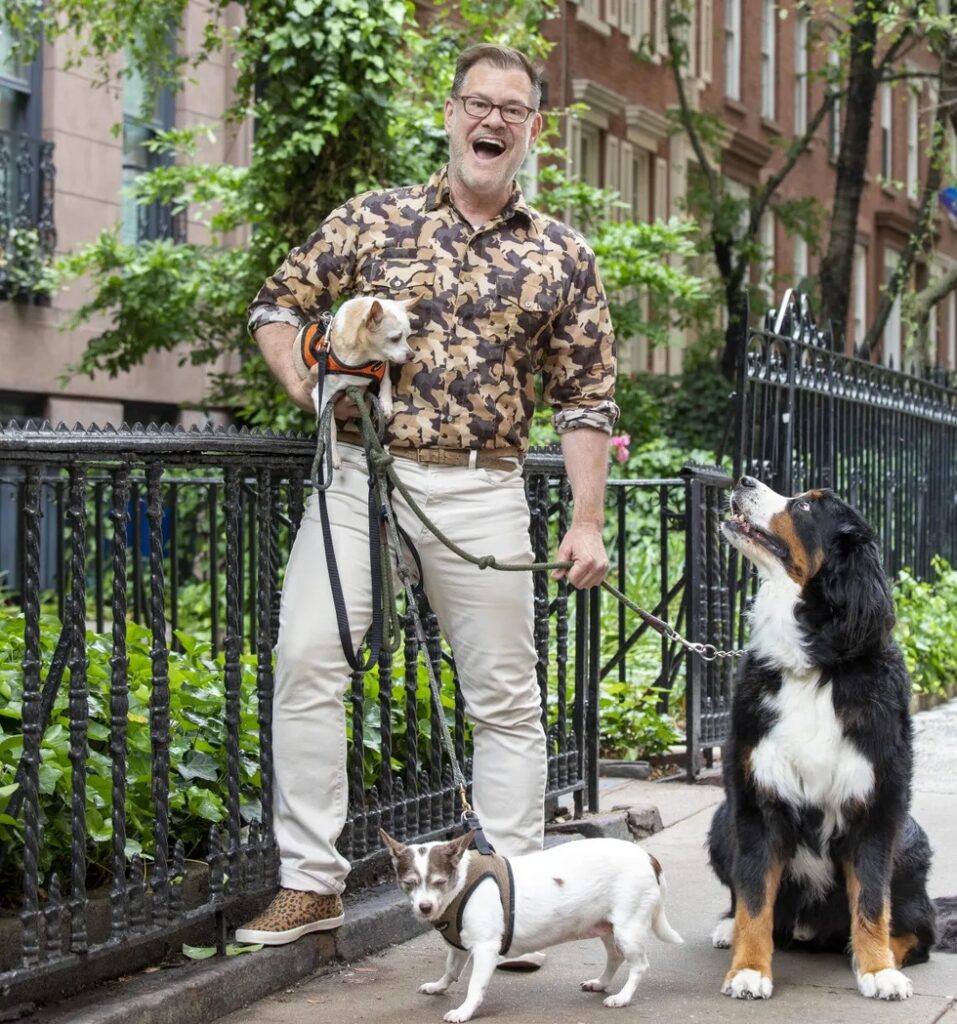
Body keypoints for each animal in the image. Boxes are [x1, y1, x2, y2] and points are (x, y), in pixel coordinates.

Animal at [380, 831, 679, 1024]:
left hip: (628, 929)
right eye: (409, 883)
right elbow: (451, 970)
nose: (424, 907)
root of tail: (647, 856)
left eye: (439, 882)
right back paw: (601, 983)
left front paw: (464, 1011)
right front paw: (438, 986)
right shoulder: (460, 946)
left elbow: (475, 986)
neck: (461, 884)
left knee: (639, 965)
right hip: (607, 926)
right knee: (615, 957)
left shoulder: (485, 949)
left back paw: (623, 997)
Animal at [712, 477, 937, 999]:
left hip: (913, 841)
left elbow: (872, 900)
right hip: (720, 821)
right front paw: (749, 969)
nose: (743, 480)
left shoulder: (878, 804)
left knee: (922, 930)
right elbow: (754, 898)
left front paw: (877, 970)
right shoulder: (756, 802)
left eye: (806, 507)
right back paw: (727, 929)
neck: (813, 668)